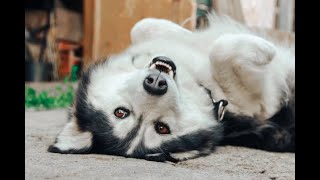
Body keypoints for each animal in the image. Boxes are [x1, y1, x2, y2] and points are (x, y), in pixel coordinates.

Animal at [47, 15, 296, 162]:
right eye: (162, 128)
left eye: (120, 112)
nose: (156, 84)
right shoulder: (259, 102)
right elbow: (220, 50)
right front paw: (268, 49)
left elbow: (142, 26)